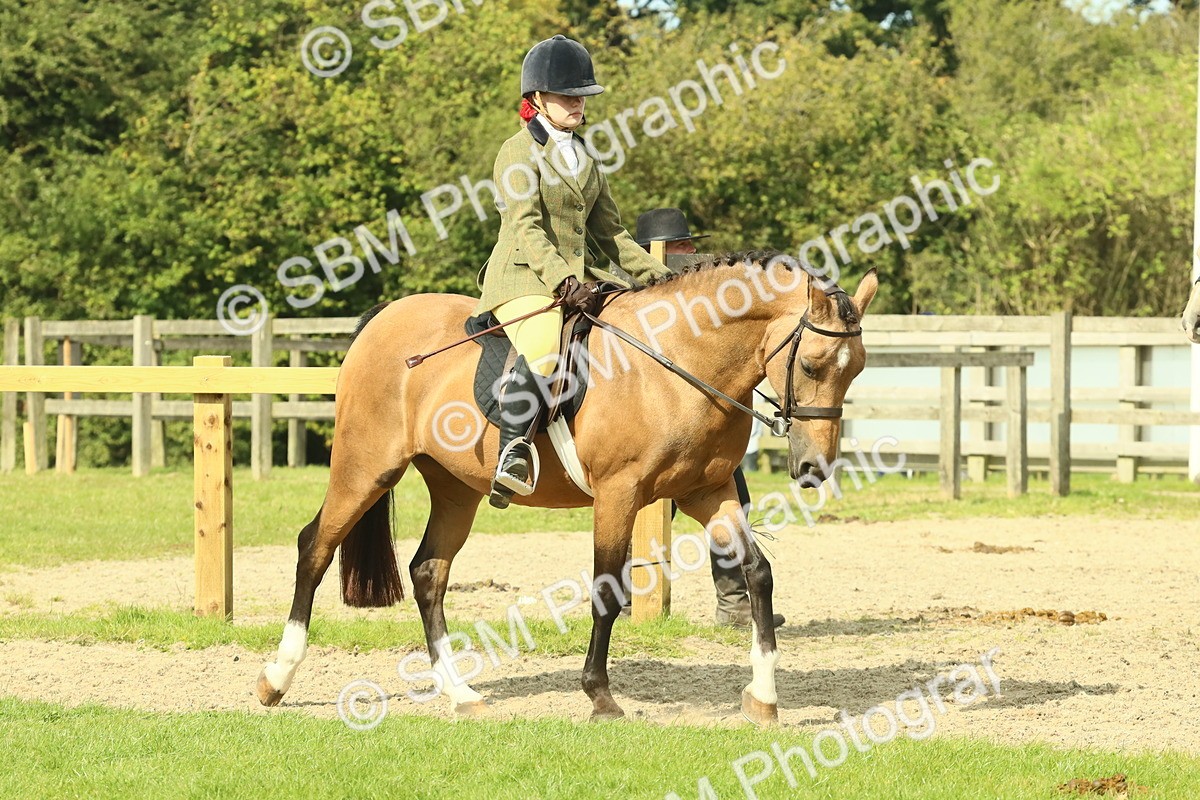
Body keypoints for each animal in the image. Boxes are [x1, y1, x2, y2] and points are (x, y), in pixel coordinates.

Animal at [255, 252, 878, 725]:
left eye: (856, 370)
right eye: (814, 365)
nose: (815, 468)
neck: (676, 362)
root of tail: (385, 317)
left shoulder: (709, 490)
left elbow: (758, 574)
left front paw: (764, 698)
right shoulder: (620, 494)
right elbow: (606, 589)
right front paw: (600, 698)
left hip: (454, 489)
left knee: (428, 573)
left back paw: (461, 694)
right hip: (366, 467)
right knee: (315, 549)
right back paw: (276, 679)